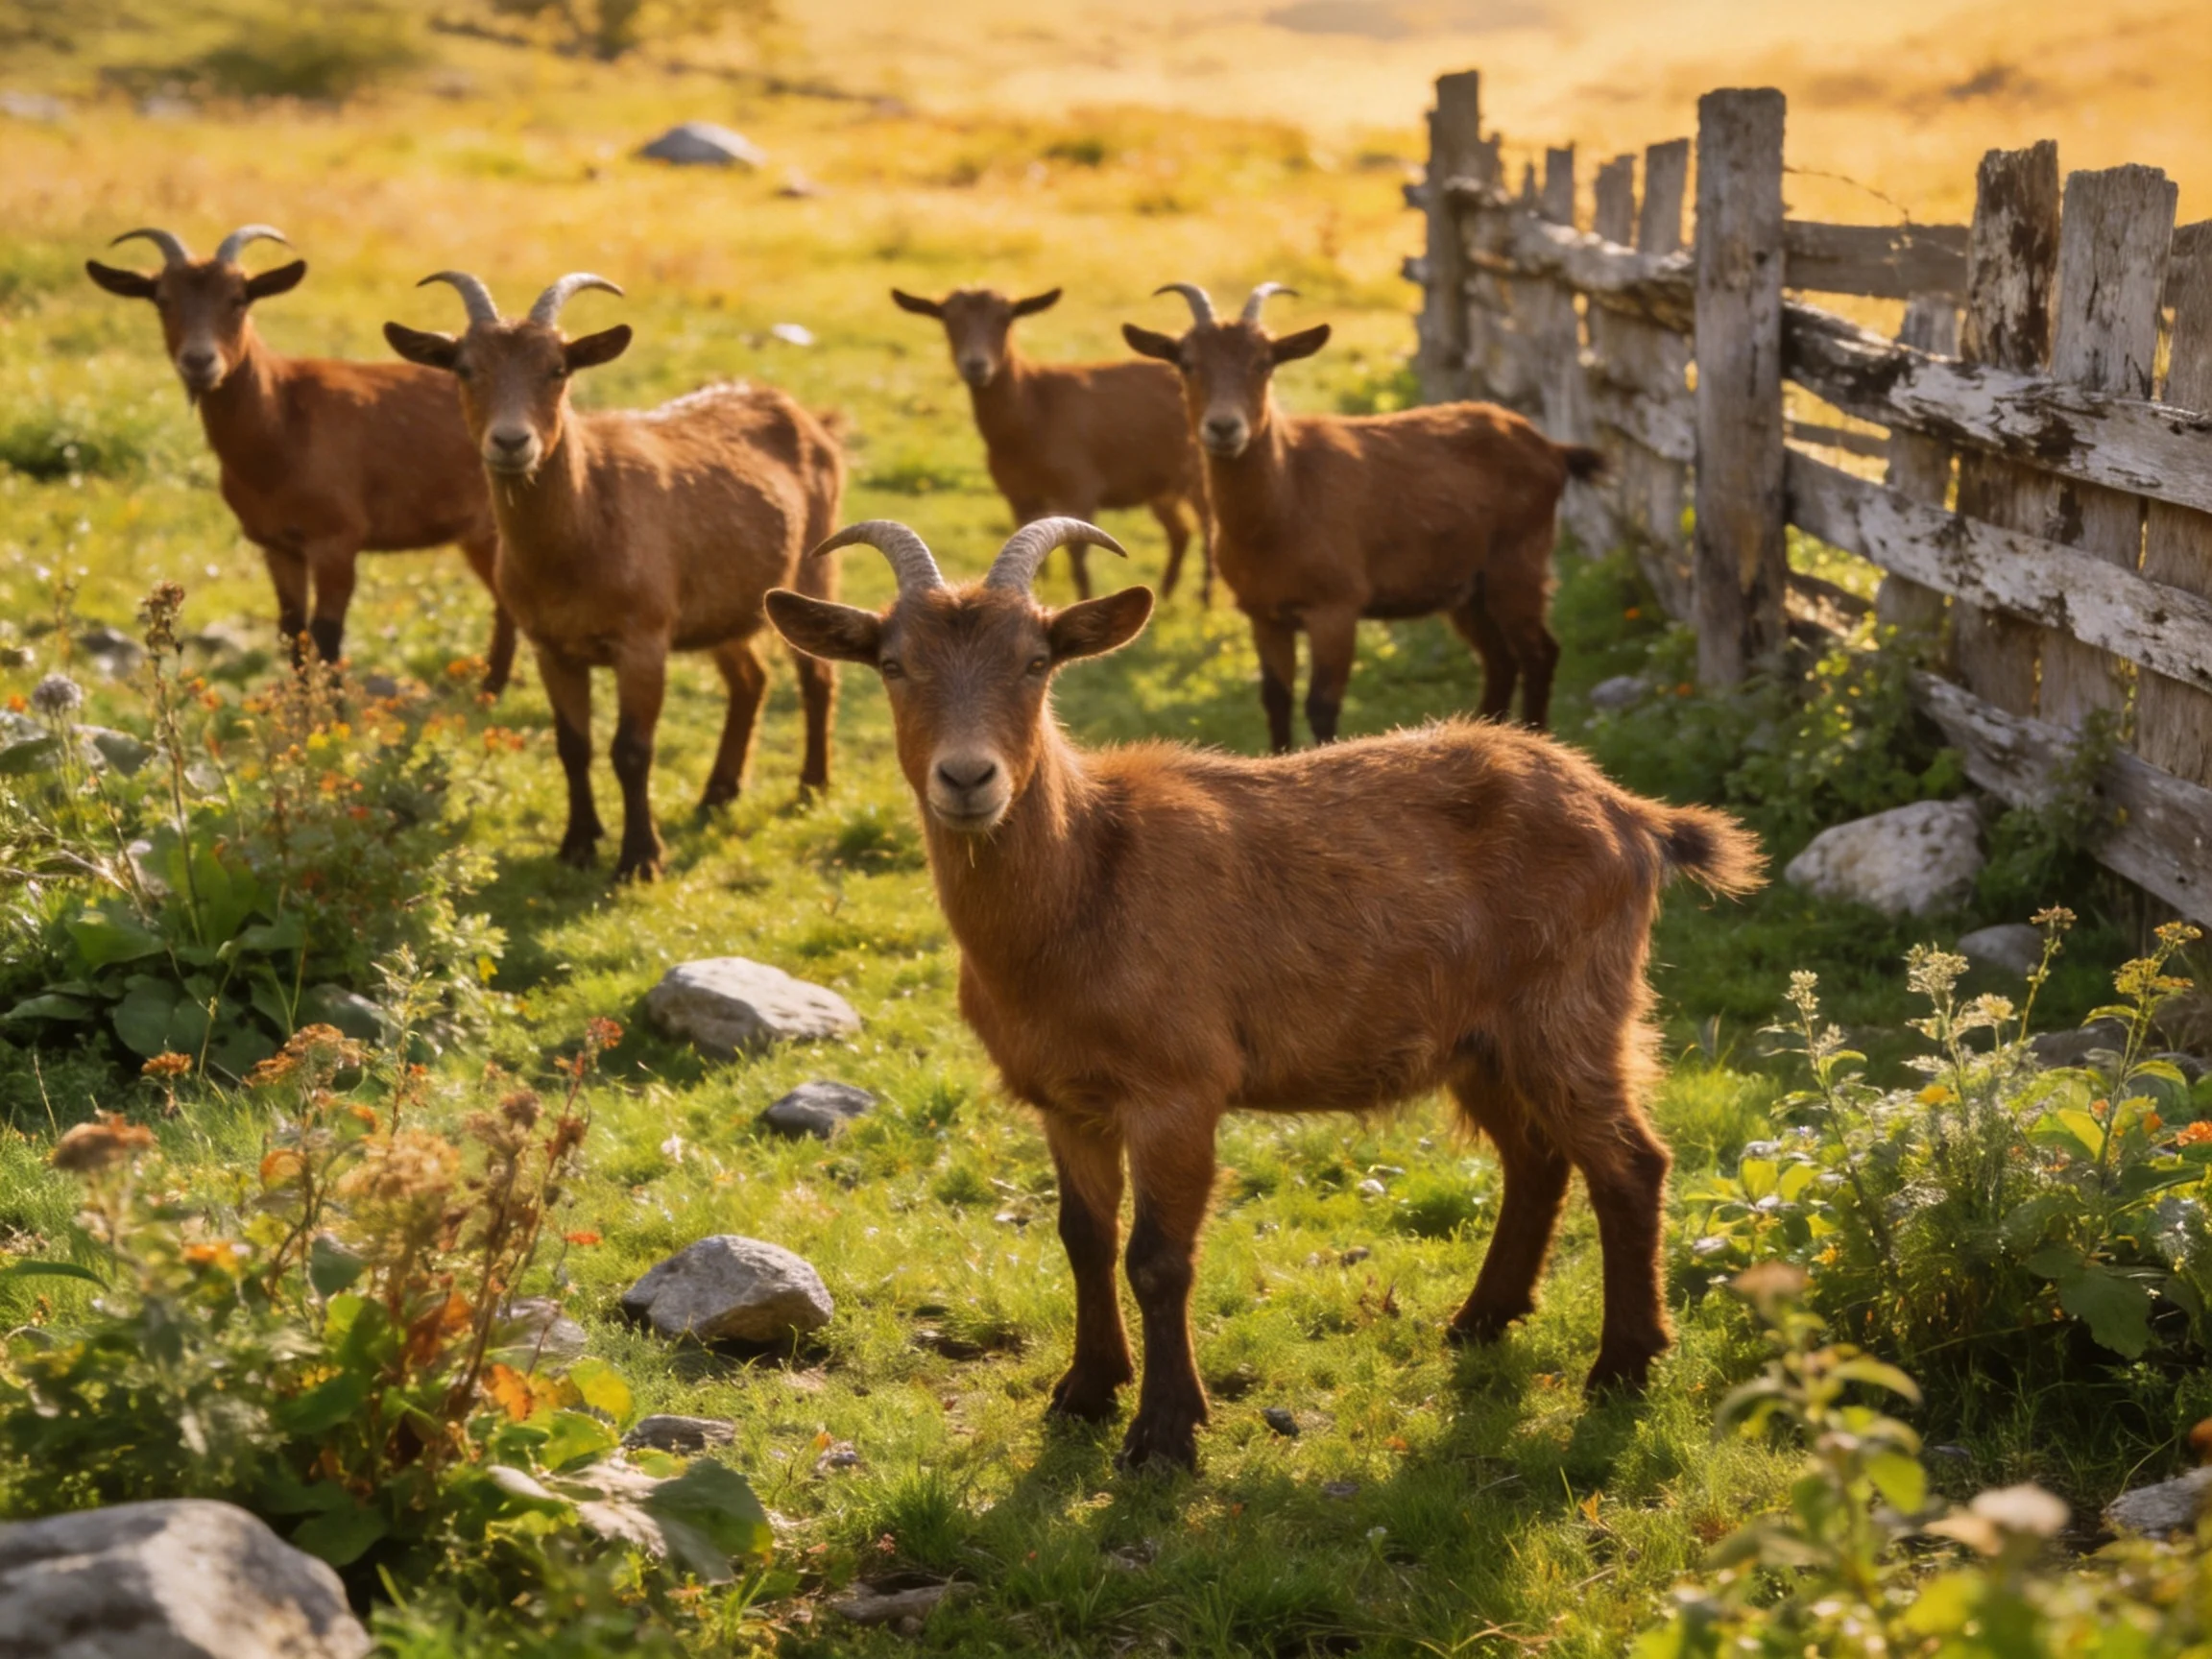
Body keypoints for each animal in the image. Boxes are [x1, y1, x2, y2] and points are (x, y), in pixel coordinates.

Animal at [85, 225, 517, 693]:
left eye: (239, 298)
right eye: (162, 299)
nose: (200, 362)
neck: (283, 429)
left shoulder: (337, 539)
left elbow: (328, 632)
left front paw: (334, 709)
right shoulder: (277, 544)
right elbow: (293, 629)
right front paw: (302, 706)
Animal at [385, 272, 844, 881]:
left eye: (558, 369)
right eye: (464, 367)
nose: (511, 442)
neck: (582, 534)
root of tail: (799, 411)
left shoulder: (643, 639)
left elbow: (632, 750)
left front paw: (640, 859)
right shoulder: (551, 646)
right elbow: (572, 744)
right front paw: (578, 844)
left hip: (814, 565)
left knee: (816, 677)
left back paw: (811, 786)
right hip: (728, 602)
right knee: (750, 679)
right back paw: (718, 792)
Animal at [766, 517, 1763, 1471]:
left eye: (1037, 661)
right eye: (894, 663)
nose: (969, 778)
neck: (1087, 880)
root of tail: (1635, 818)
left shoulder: (1177, 1089)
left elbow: (1158, 1258)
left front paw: (1165, 1434)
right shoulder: (1066, 1099)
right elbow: (1084, 1238)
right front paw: (1085, 1391)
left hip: (1575, 1010)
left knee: (1630, 1164)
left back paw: (1622, 1365)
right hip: (1481, 1039)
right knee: (1538, 1158)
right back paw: (1482, 1319)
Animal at [890, 285, 1208, 603]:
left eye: (1006, 318)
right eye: (948, 319)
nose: (976, 366)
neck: (1035, 412)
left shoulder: (1080, 490)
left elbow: (1079, 563)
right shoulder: (1019, 496)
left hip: (1199, 477)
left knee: (1207, 529)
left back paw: (1204, 599)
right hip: (1160, 487)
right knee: (1180, 531)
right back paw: (1166, 595)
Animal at [1123, 282, 1603, 747]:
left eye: (1265, 363)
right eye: (1186, 363)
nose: (1224, 428)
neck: (1287, 499)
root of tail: (1551, 449)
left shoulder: (1337, 606)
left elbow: (1321, 705)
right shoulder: (1263, 613)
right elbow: (1276, 701)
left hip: (1519, 561)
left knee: (1539, 652)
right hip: (1467, 587)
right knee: (1499, 659)